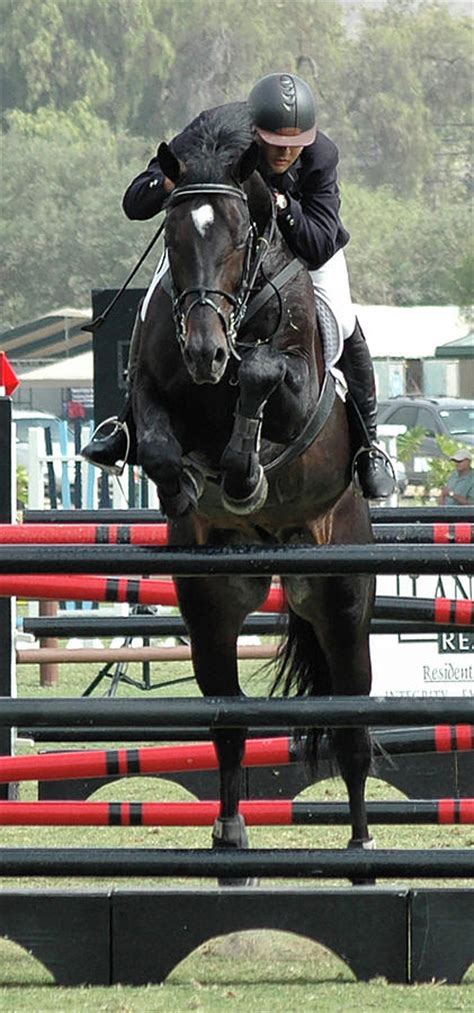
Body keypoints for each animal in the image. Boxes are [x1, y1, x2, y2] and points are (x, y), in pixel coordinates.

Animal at [132, 108, 374, 871]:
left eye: (241, 239)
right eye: (174, 239)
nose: (206, 353)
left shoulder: (294, 389)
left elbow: (267, 374)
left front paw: (242, 470)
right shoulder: (152, 388)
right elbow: (155, 440)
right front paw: (185, 485)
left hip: (341, 596)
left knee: (353, 723)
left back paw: (362, 841)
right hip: (211, 603)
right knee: (228, 717)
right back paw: (230, 831)